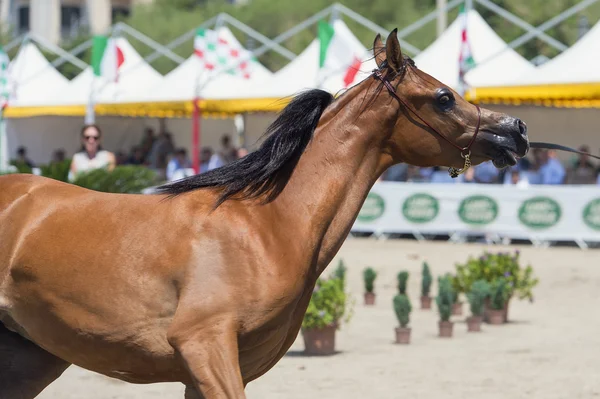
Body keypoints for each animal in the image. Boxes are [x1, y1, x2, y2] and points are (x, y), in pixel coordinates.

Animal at [0, 31, 524, 399]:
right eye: (443, 96)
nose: (515, 130)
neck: (264, 225)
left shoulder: (212, 371)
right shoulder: (205, 348)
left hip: (33, 357)